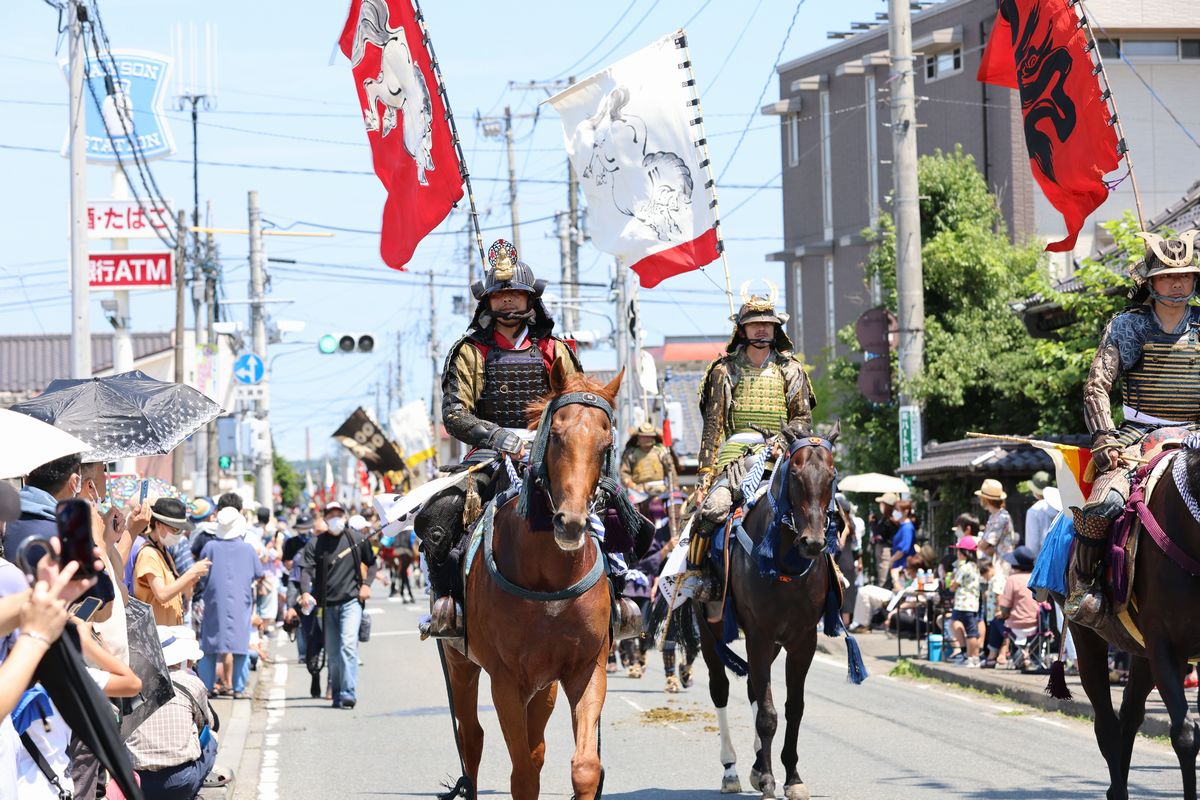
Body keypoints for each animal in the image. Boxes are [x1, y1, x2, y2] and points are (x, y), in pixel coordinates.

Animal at [444, 364, 628, 800]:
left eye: (605, 443)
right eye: (556, 435)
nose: (571, 522)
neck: (550, 577)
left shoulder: (586, 668)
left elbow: (584, 768)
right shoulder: (506, 680)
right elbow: (523, 776)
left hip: (543, 684)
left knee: (536, 745)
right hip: (461, 662)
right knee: (472, 737)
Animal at [696, 422, 854, 796]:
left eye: (832, 475)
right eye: (794, 473)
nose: (813, 542)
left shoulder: (802, 640)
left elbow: (793, 708)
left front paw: (791, 777)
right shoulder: (760, 634)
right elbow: (767, 714)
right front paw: (769, 779)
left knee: (753, 688)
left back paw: (755, 765)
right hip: (710, 630)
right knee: (720, 689)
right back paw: (732, 771)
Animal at [1070, 443, 1200, 800]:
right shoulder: (1166, 648)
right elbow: (1185, 735)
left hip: (1142, 653)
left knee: (1129, 717)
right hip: (1087, 639)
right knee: (1106, 724)